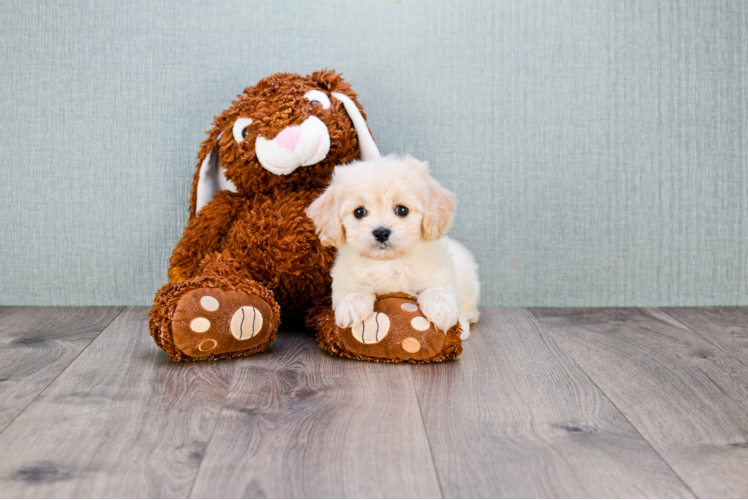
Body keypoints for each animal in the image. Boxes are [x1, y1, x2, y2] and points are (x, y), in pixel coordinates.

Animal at [306, 155, 482, 340]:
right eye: (359, 212)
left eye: (402, 210)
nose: (381, 233)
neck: (389, 262)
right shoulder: (343, 280)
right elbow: (354, 286)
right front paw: (352, 306)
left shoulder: (440, 273)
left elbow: (436, 287)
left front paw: (440, 308)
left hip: (468, 283)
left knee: (469, 312)